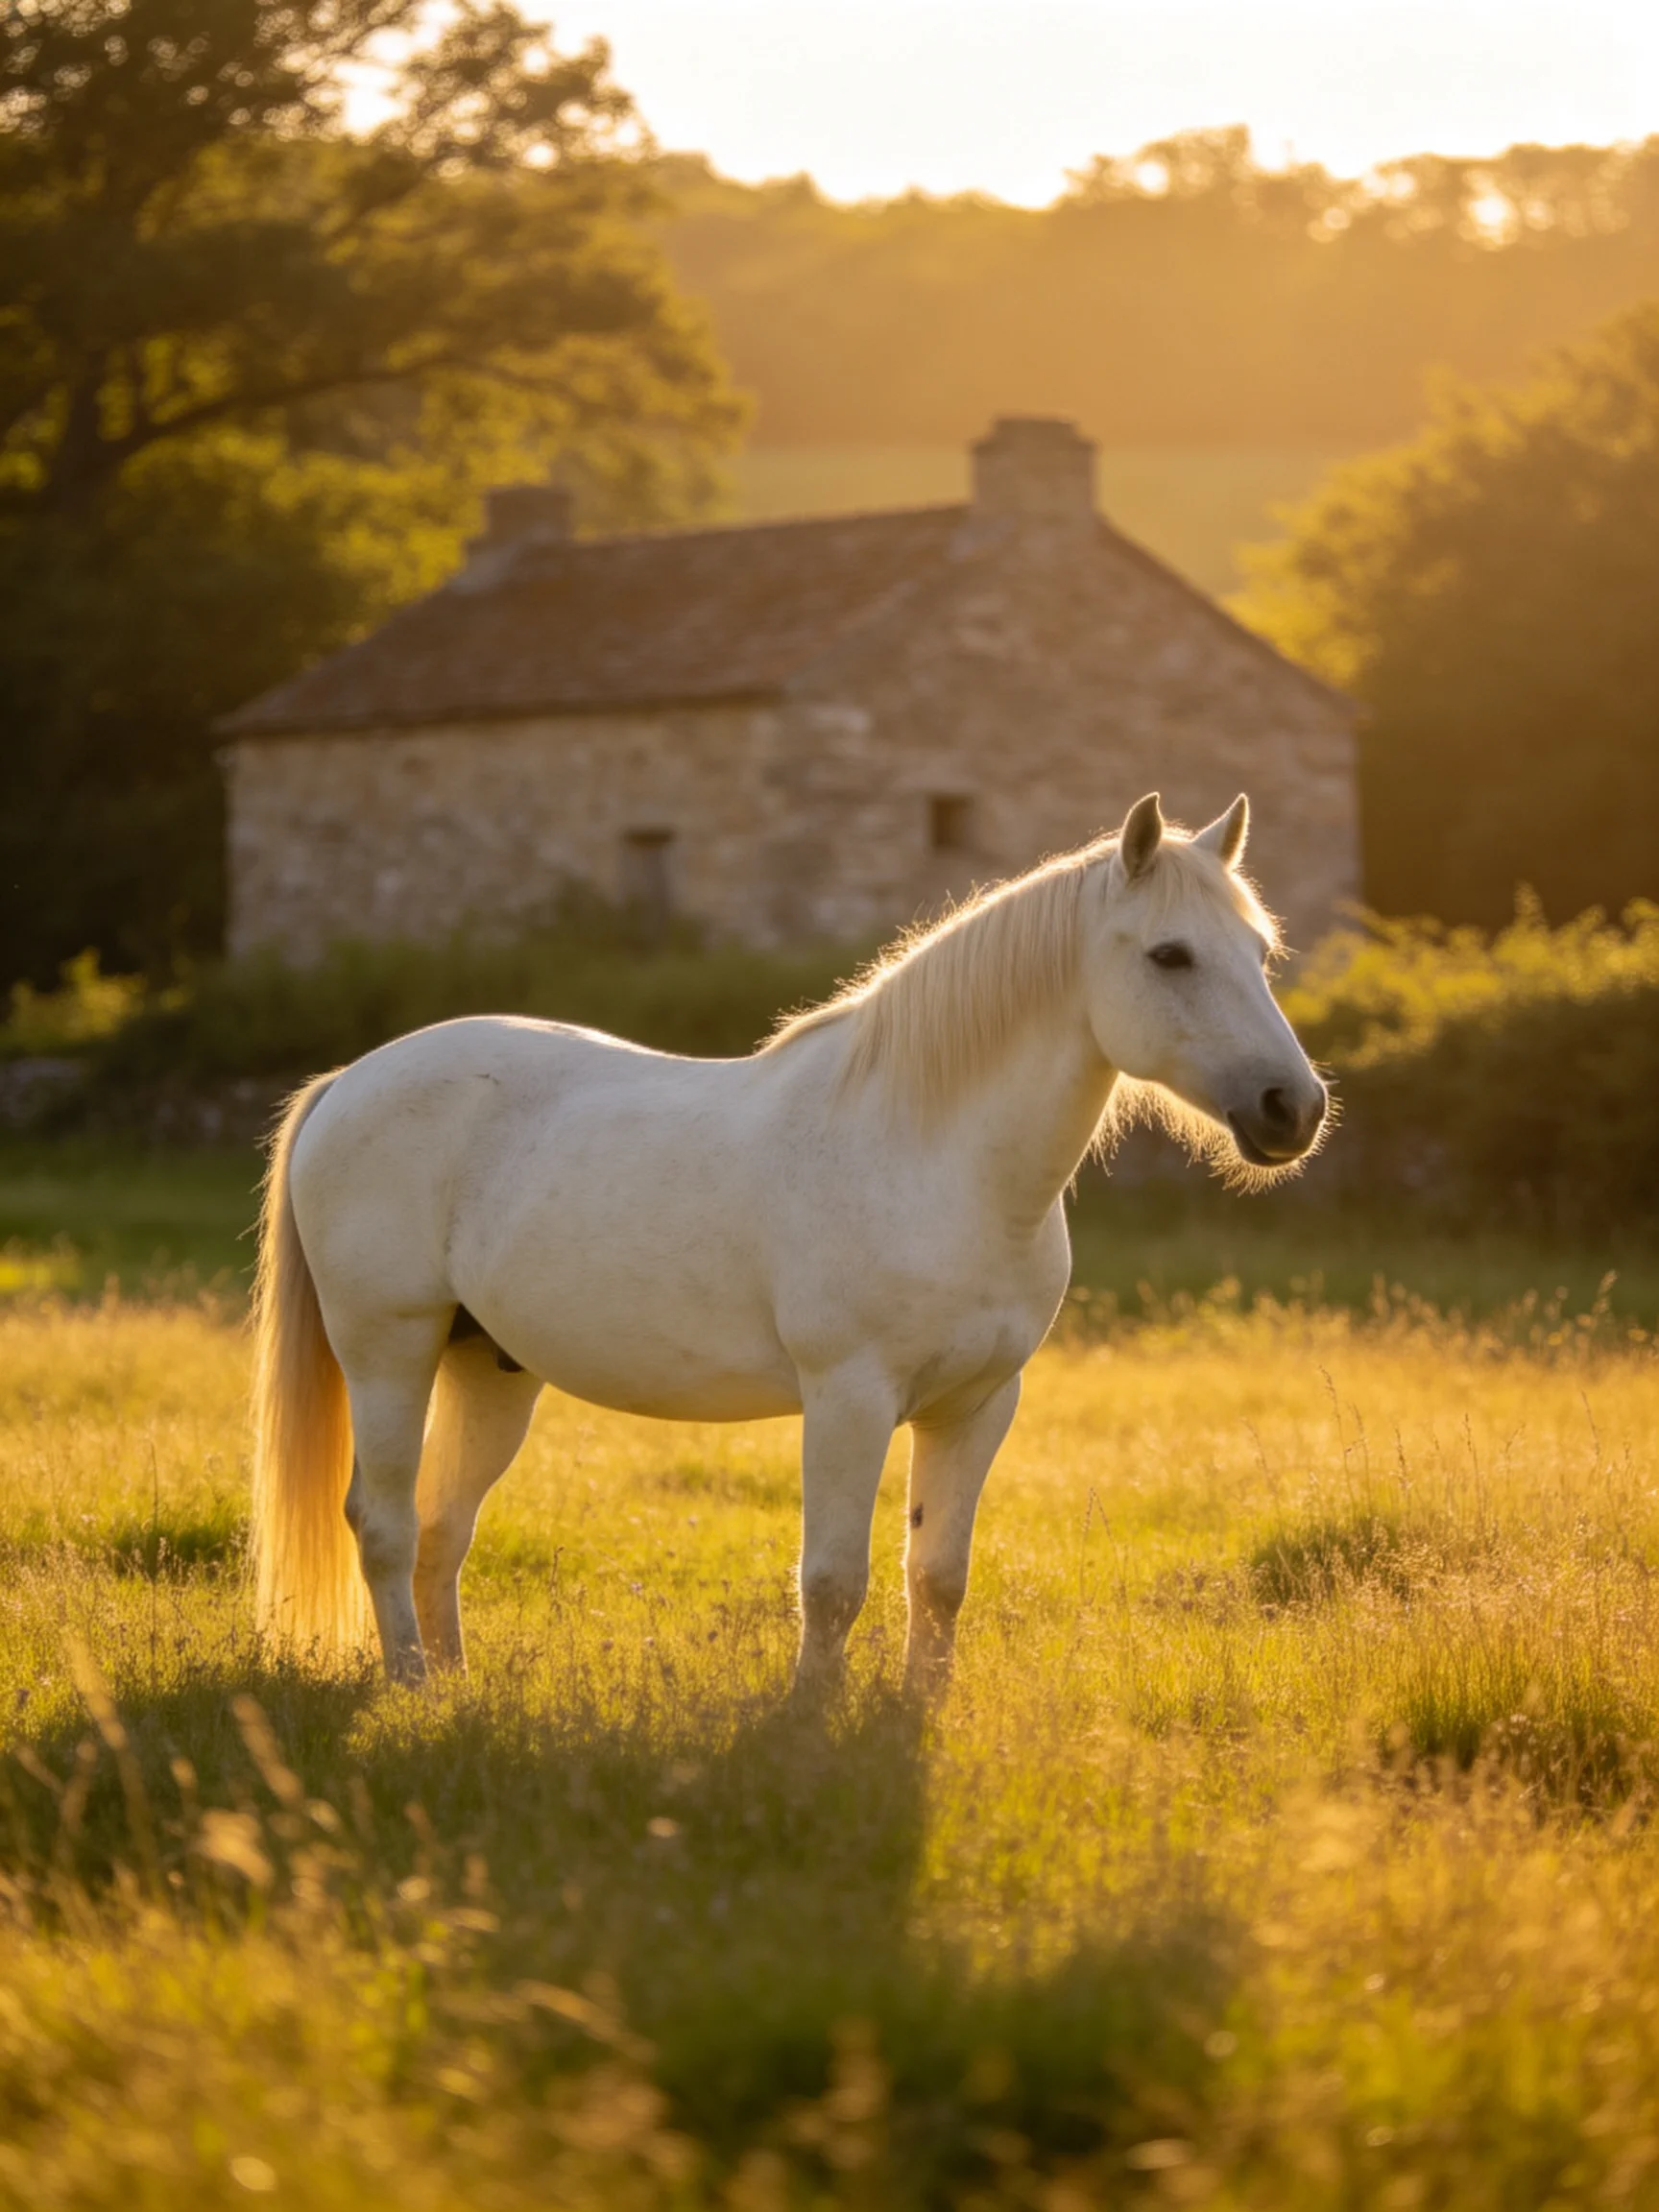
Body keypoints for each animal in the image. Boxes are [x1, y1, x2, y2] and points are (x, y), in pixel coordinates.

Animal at [250, 790, 1327, 1692]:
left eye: (1258, 951)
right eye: (1170, 955)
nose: (1295, 1108)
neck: (932, 1157)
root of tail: (349, 1081)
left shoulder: (978, 1406)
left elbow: (938, 1577)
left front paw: (918, 1714)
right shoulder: (848, 1398)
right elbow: (835, 1580)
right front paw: (809, 1721)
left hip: (492, 1369)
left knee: (443, 1529)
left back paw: (457, 1688)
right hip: (388, 1350)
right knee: (385, 1524)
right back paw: (411, 1689)